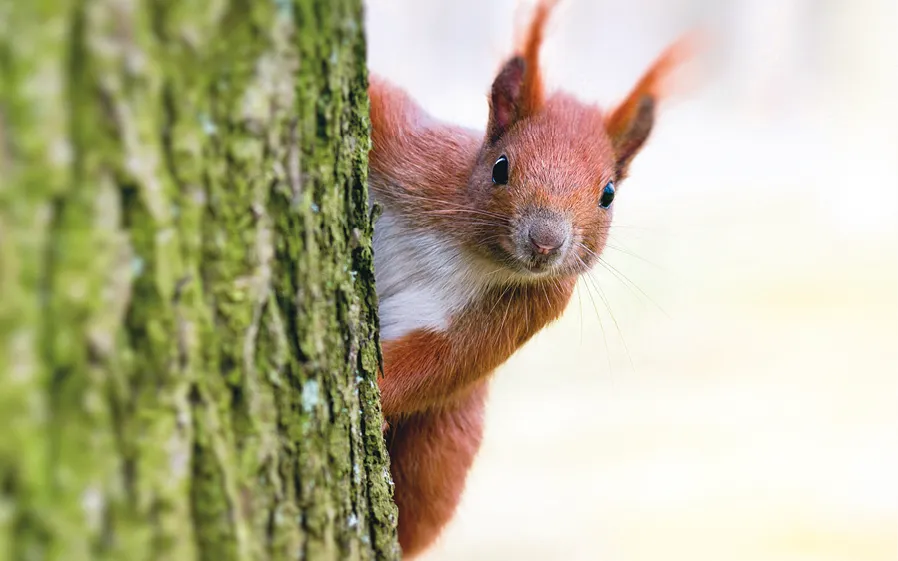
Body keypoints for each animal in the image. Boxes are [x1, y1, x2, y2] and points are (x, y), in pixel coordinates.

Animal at [364, 0, 688, 556]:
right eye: (500, 167)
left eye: (608, 194)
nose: (546, 242)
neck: (473, 248)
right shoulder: (415, 154)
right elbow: (378, 101)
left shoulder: (529, 305)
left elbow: (445, 360)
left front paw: (377, 394)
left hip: (445, 444)